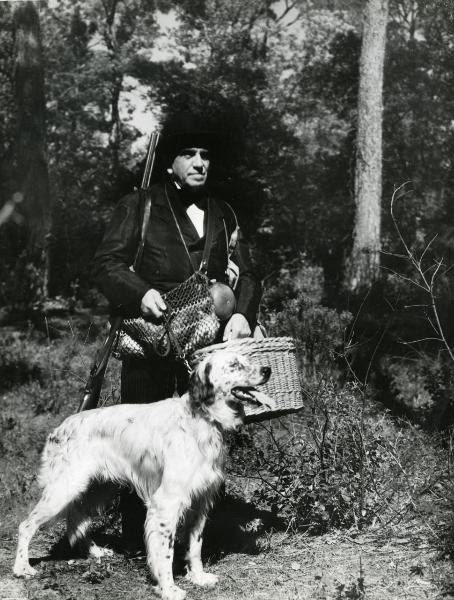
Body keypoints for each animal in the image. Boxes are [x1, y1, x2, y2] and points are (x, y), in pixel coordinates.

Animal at [12, 352, 274, 600]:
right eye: (234, 365)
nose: (267, 369)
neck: (201, 419)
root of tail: (60, 428)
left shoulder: (200, 502)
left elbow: (195, 547)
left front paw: (198, 577)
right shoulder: (166, 503)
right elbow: (165, 553)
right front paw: (168, 589)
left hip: (98, 489)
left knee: (76, 520)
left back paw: (95, 552)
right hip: (64, 488)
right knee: (26, 525)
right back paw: (21, 567)